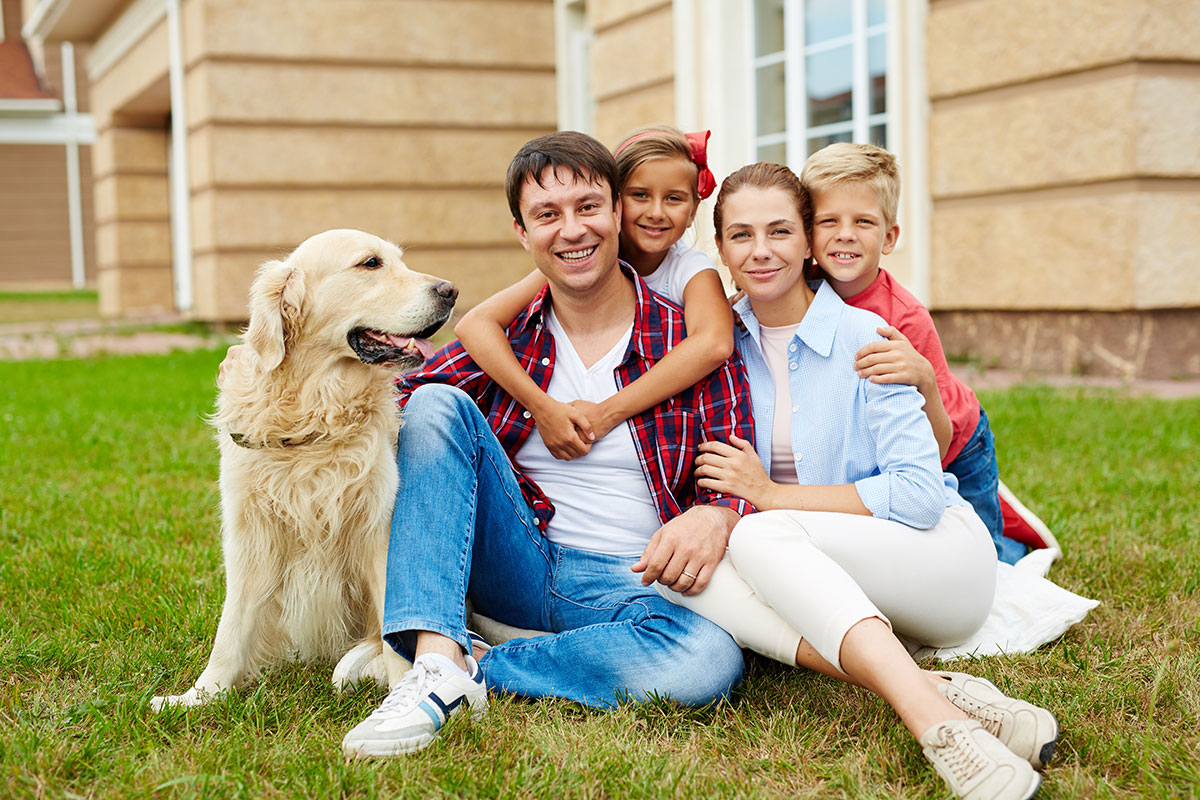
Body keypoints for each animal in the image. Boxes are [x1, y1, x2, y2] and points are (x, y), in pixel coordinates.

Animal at [152, 227, 456, 710]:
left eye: (400, 260)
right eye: (371, 263)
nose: (451, 291)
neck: (316, 412)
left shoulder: (378, 529)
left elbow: (395, 629)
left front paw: (399, 689)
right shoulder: (250, 536)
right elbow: (230, 628)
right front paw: (202, 695)